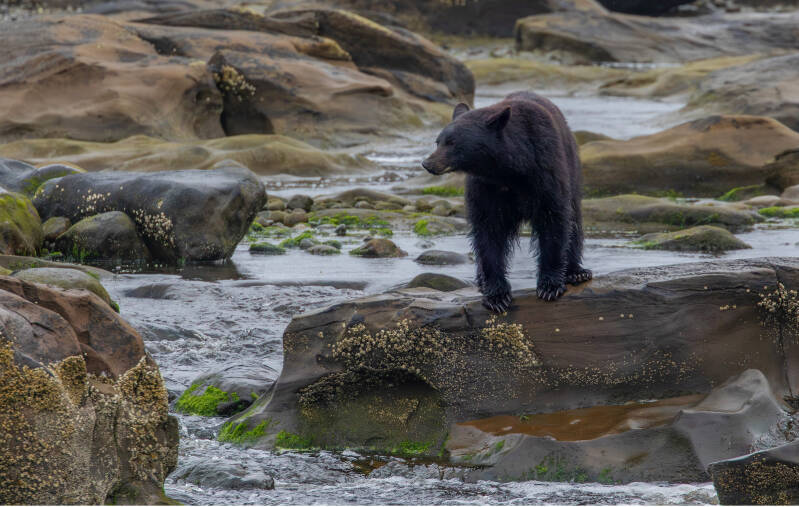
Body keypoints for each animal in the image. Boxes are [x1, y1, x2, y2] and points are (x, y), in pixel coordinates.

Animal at [421, 91, 591, 313]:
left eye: (452, 142)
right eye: (438, 141)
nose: (427, 163)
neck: (508, 171)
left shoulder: (546, 169)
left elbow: (554, 219)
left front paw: (550, 285)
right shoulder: (484, 187)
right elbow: (487, 232)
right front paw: (496, 295)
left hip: (572, 167)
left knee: (574, 219)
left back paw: (576, 271)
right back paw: (481, 279)